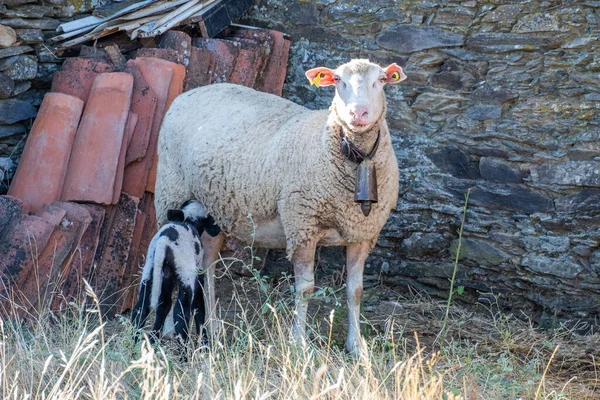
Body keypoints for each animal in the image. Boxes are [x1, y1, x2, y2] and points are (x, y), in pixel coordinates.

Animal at [131, 200, 220, 344]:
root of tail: (164, 241)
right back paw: (184, 348)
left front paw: (154, 339)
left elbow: (164, 306)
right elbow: (199, 308)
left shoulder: (167, 278)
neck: (189, 222)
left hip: (150, 272)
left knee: (142, 307)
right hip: (186, 276)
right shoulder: (197, 276)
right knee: (181, 312)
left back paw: (135, 342)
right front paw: (204, 342)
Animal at [156, 59, 408, 356]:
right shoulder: (302, 225)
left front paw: (357, 346)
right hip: (170, 194)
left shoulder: (362, 233)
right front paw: (298, 343)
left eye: (381, 80)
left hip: (215, 213)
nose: (358, 113)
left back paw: (212, 327)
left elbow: (355, 291)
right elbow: (306, 289)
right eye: (337, 80)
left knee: (205, 267)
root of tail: (190, 93)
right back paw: (172, 328)